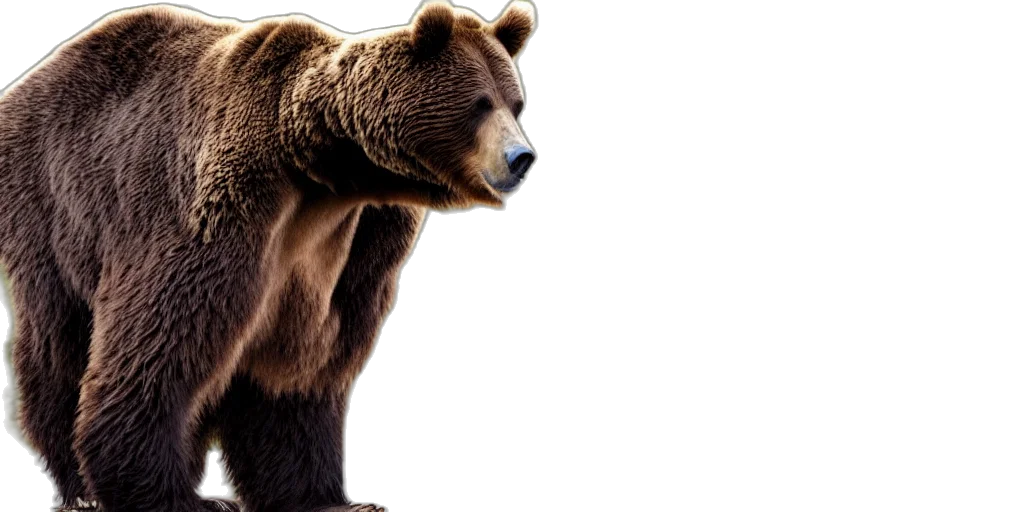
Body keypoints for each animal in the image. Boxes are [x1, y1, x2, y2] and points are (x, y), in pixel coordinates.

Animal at [0, 1, 537, 511]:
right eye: (479, 103)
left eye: (515, 103)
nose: (521, 158)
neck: (330, 175)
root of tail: (22, 85)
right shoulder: (229, 201)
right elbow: (164, 332)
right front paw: (171, 496)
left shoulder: (360, 241)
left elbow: (302, 362)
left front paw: (327, 498)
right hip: (54, 206)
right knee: (60, 342)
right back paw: (86, 487)